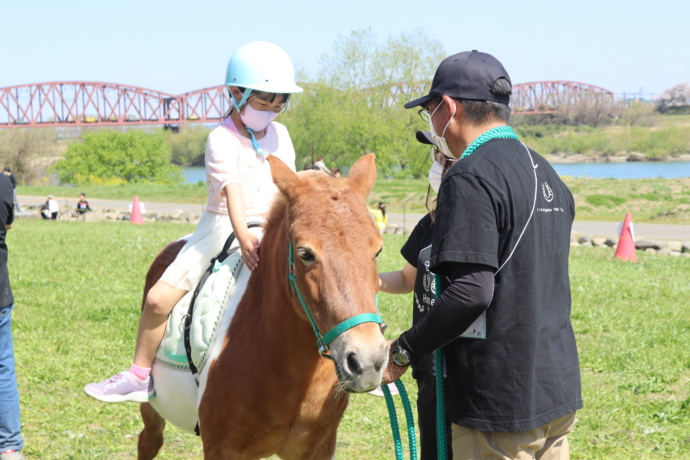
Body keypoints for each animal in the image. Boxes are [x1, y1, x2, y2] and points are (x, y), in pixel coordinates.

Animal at [136, 155, 384, 460]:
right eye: (305, 253)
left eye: (378, 250)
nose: (367, 361)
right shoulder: (222, 448)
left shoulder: (318, 447)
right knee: (149, 440)